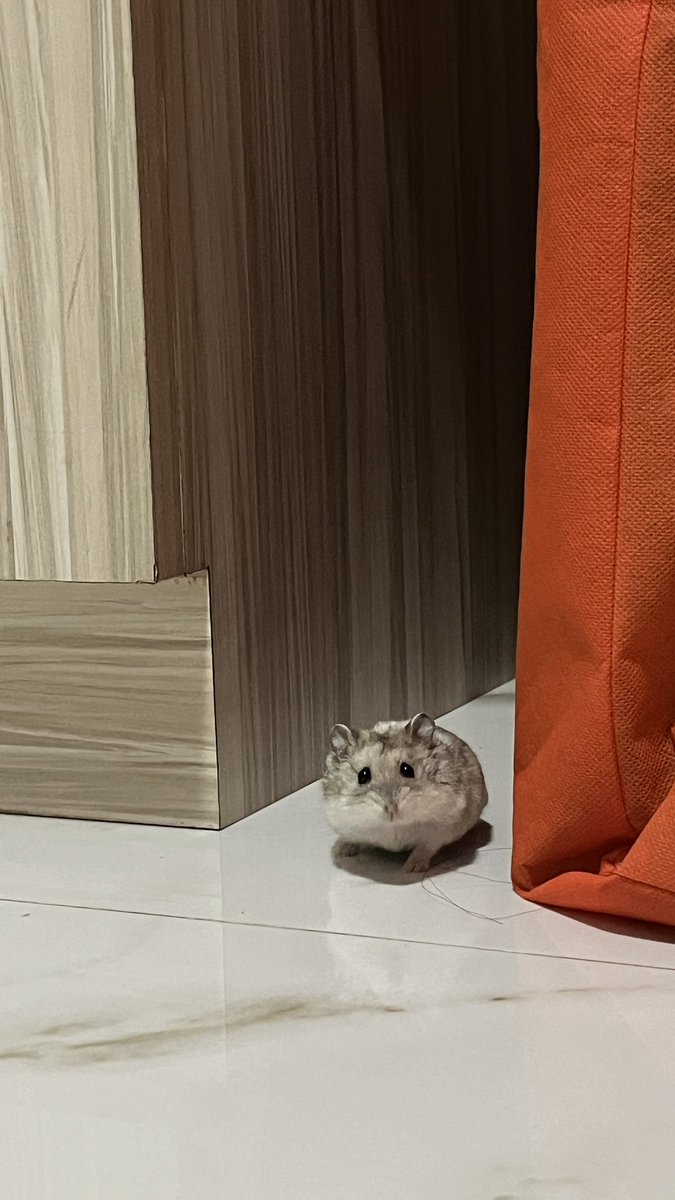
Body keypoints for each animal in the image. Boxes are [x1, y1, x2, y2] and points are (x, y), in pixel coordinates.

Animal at [322, 713, 487, 874]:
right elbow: (351, 837)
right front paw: (340, 852)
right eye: (362, 775)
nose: (391, 810)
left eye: (408, 770)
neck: (393, 825)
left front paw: (411, 869)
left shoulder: (439, 830)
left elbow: (424, 849)